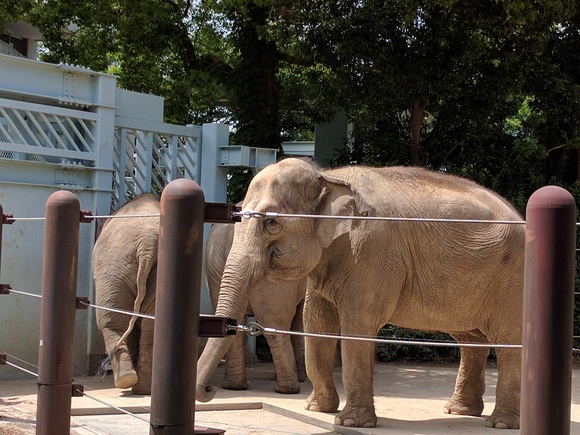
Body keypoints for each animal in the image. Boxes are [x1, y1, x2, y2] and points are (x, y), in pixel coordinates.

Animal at [94, 194, 160, 396]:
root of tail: (147, 244)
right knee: (151, 325)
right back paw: (141, 388)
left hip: (113, 268)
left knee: (112, 321)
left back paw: (125, 381)